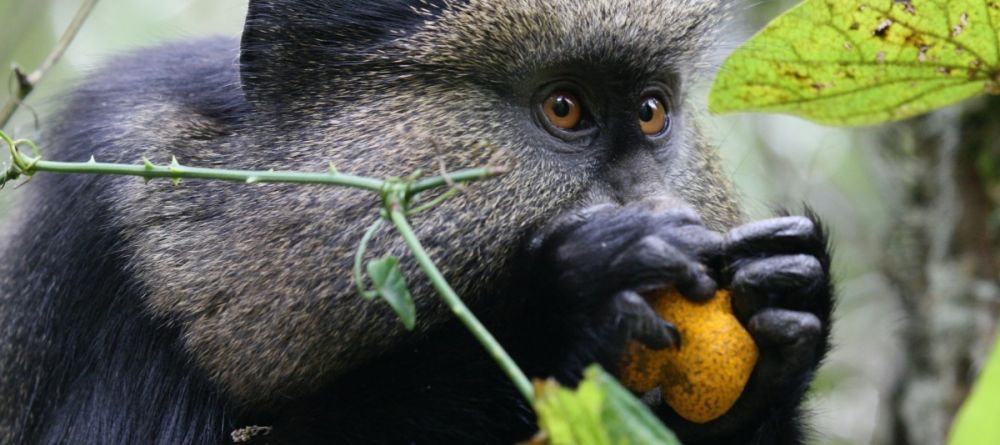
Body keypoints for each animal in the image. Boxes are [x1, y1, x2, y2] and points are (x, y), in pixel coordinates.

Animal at [0, 0, 834, 444]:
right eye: (565, 108)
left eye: (652, 111)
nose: (659, 211)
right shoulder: (111, 240)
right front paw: (556, 308)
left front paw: (787, 303)